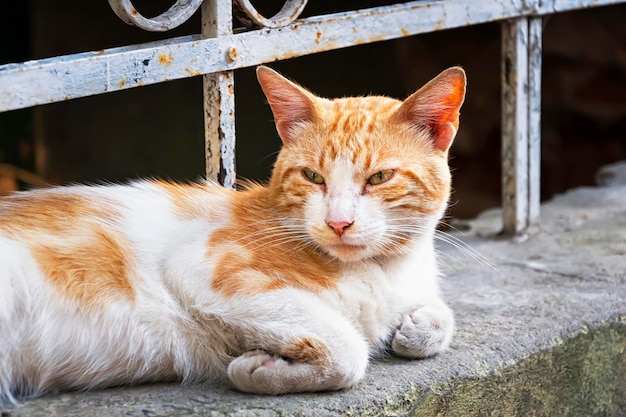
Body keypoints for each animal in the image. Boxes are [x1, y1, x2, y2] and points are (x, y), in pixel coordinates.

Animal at [0, 66, 464, 404]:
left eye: (380, 177)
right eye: (313, 177)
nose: (338, 223)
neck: (384, 269)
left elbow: (443, 316)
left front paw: (419, 327)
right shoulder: (206, 268)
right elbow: (350, 348)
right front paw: (257, 369)